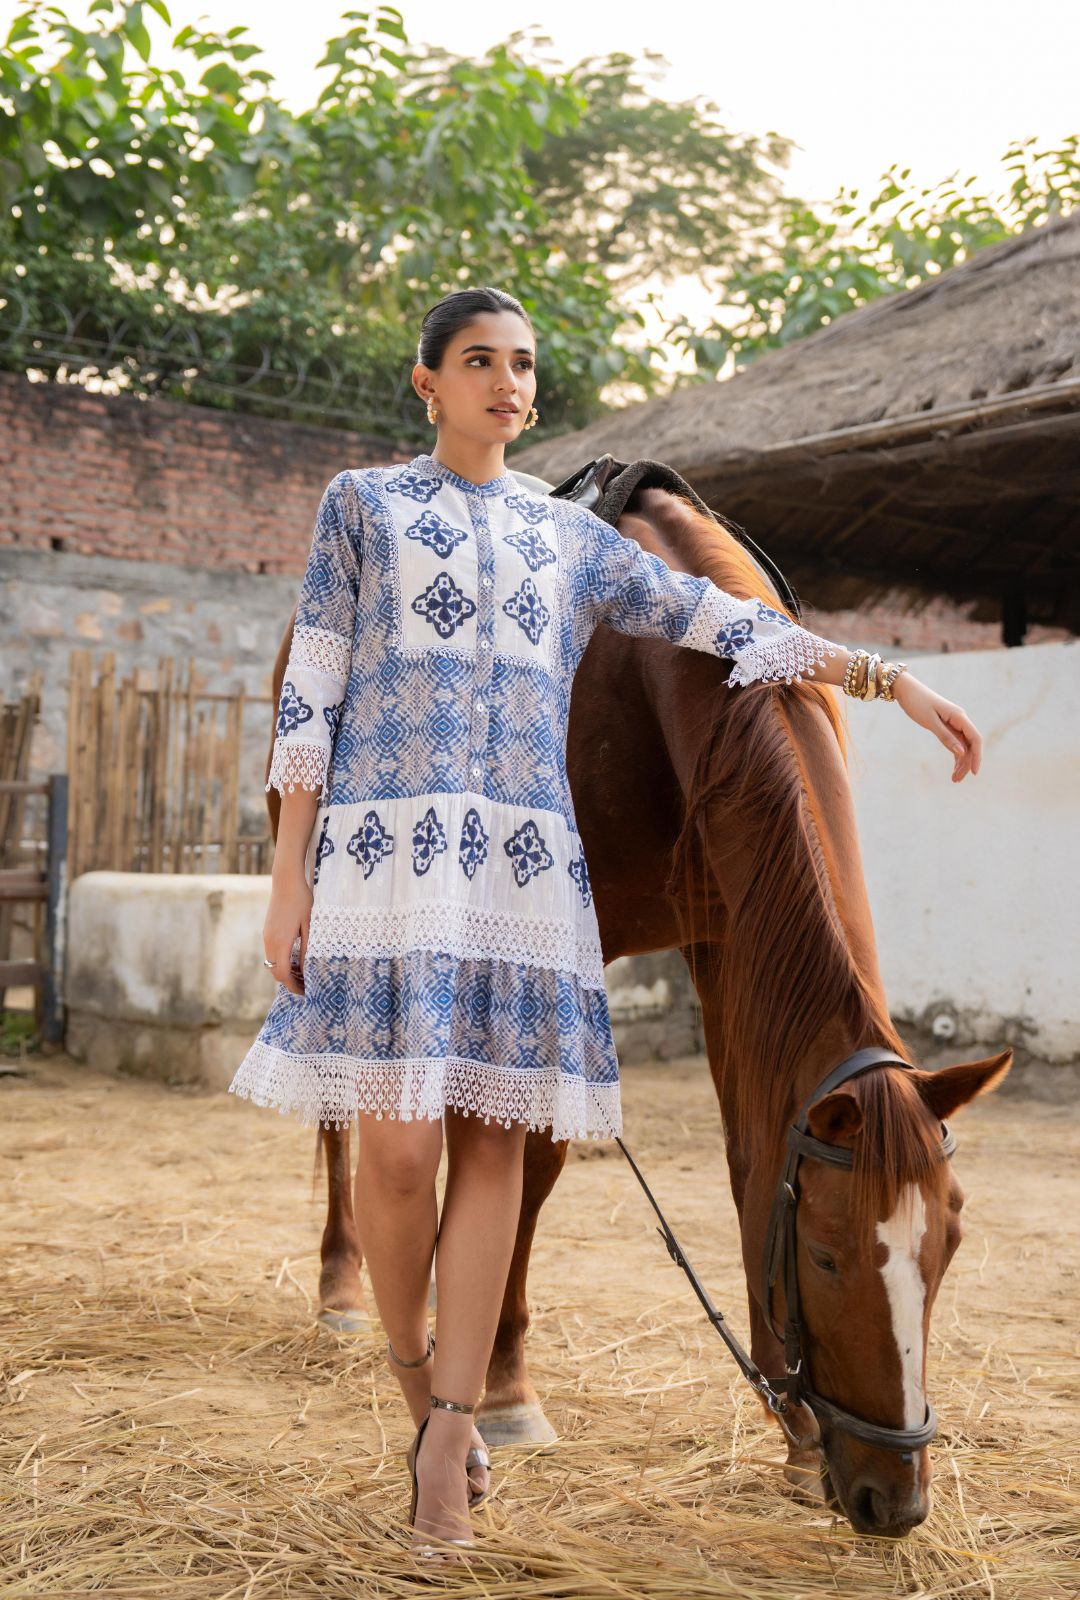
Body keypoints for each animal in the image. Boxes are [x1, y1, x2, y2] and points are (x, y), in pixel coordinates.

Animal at [264, 476, 1011, 1536]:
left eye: (948, 1246)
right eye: (826, 1257)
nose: (895, 1499)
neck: (658, 681)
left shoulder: (725, 937)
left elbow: (747, 1156)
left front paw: (795, 1437)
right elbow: (535, 1156)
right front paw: (504, 1383)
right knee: (340, 1098)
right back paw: (342, 1284)